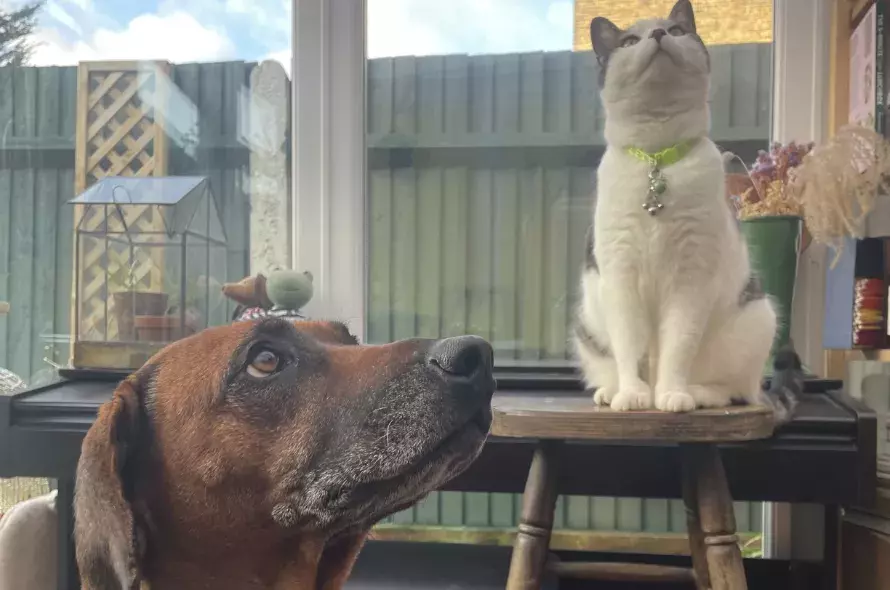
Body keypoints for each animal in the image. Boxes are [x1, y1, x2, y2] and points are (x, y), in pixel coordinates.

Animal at [572, 0, 780, 414]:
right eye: (629, 41)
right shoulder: (620, 275)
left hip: (755, 319)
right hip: (588, 328)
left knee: (735, 390)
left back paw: (695, 394)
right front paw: (631, 395)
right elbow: (630, 349)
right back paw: (614, 392)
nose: (658, 33)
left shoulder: (690, 278)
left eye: (677, 31)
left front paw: (672, 395)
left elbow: (678, 347)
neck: (657, 157)